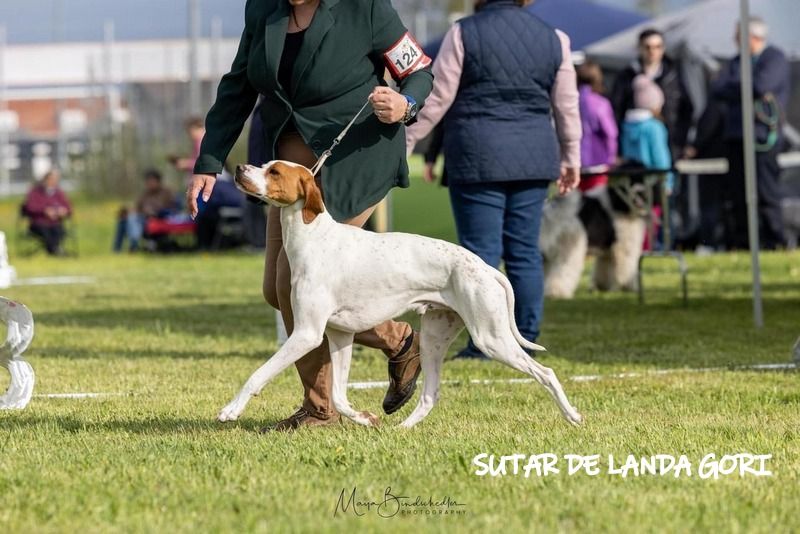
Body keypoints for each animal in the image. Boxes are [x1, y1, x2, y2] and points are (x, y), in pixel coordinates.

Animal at [223, 161, 580, 430]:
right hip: (435, 338)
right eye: (265, 164)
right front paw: (365, 418)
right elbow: (339, 395)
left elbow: (258, 375)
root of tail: (485, 267)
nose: (239, 167)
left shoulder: (306, 334)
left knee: (546, 373)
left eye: (274, 171)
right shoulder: (340, 336)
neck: (314, 238)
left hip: (491, 339)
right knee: (429, 394)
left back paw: (573, 415)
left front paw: (231, 409)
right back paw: (401, 429)